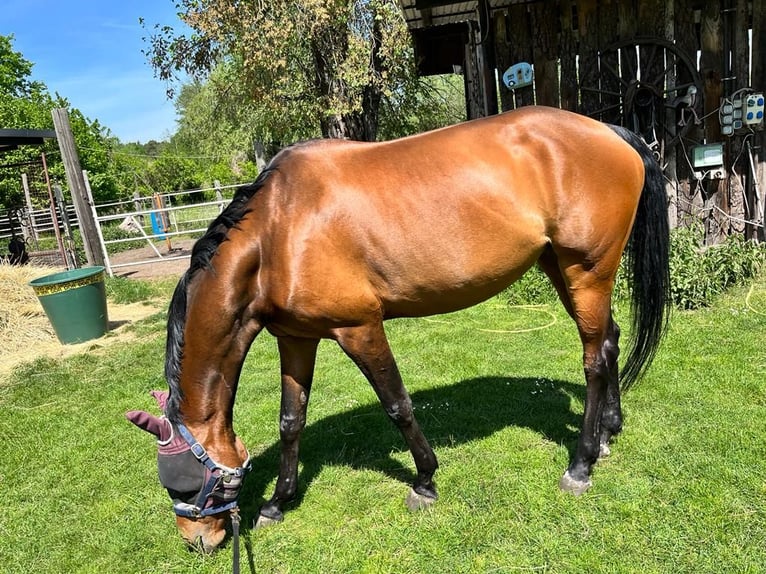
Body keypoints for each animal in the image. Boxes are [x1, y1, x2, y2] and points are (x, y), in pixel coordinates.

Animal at [127, 107, 672, 552]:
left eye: (182, 484)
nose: (199, 542)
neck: (278, 229)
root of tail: (611, 132)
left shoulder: (359, 328)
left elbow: (397, 404)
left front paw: (425, 481)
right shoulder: (297, 338)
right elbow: (290, 421)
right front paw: (279, 503)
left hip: (587, 271)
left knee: (594, 360)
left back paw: (580, 465)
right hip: (561, 268)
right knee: (610, 339)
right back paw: (608, 432)